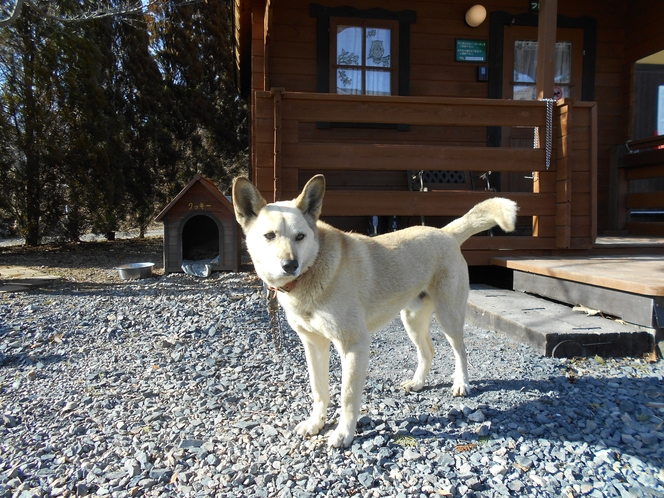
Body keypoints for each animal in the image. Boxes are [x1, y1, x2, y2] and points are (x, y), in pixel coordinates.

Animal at [233, 175, 520, 448]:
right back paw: (417, 382)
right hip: (411, 320)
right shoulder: (313, 345)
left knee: (460, 350)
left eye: (300, 236)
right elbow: (319, 389)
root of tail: (445, 233)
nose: (289, 265)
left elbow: (348, 396)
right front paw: (316, 423)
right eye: (269, 236)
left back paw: (461, 383)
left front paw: (343, 434)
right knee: (428, 351)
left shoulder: (353, 345)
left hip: (448, 316)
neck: (312, 271)